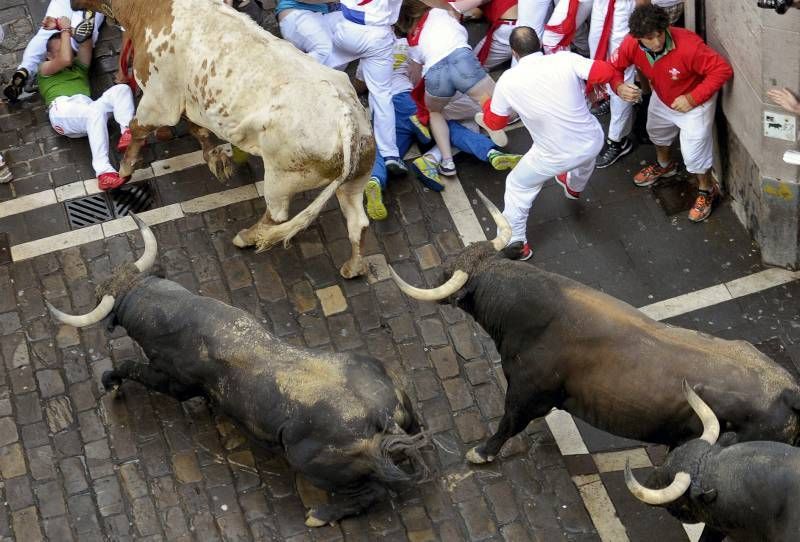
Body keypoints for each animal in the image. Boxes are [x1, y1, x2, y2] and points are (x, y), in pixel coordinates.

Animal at [47, 216, 428, 528]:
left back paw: (320, 514)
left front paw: (111, 380)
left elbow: (133, 368)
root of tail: (381, 416)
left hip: (308, 461)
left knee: (372, 493)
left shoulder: (174, 382)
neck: (175, 311)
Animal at [72, 0, 376, 280]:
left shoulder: (158, 100)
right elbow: (198, 130)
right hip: (355, 179)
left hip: (281, 177)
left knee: (277, 215)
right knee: (358, 222)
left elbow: (137, 129)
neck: (150, 11)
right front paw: (215, 158)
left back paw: (246, 237)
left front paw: (125, 169)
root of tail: (345, 112)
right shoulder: (189, 102)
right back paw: (353, 267)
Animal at [390, 190, 800, 464]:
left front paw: (481, 452)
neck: (533, 310)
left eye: (447, 272)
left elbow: (508, 424)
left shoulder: (526, 394)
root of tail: (786, 391)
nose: (437, 273)